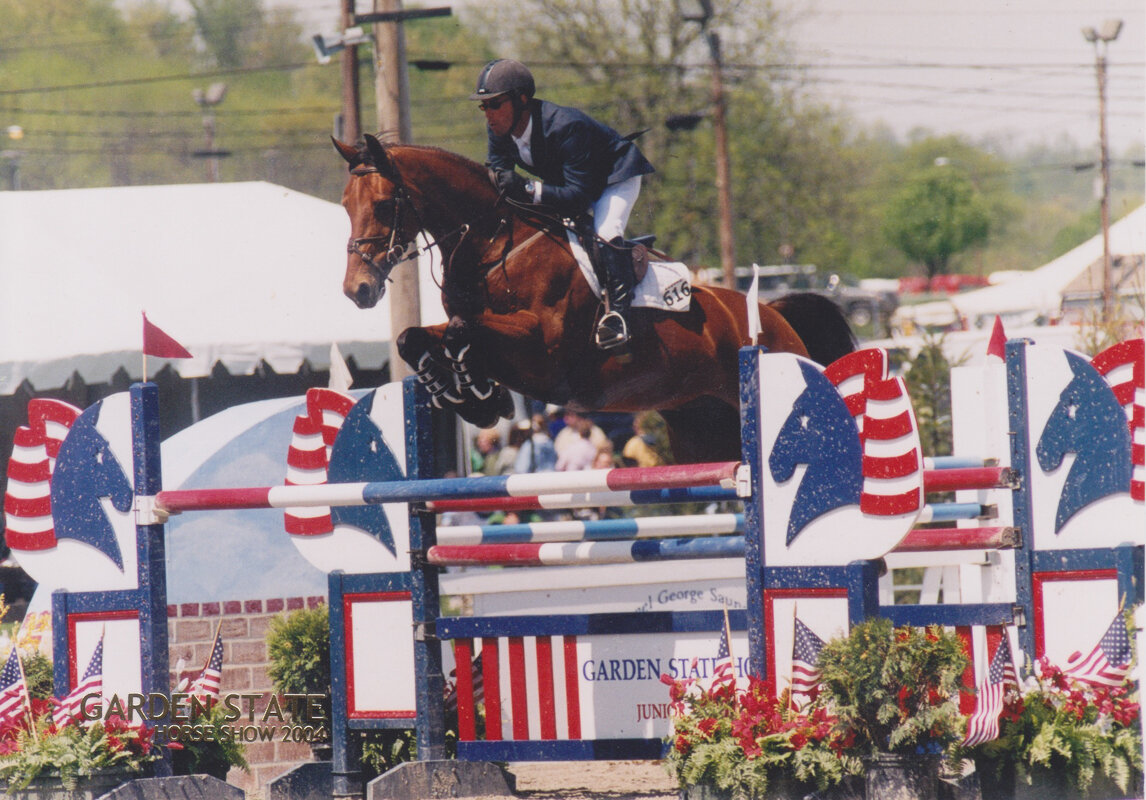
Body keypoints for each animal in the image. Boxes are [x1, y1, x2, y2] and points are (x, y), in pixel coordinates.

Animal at [332, 134, 852, 460]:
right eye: (344, 205)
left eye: (384, 205)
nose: (357, 291)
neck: (495, 246)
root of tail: (773, 313)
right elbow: (415, 337)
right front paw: (471, 395)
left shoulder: (544, 354)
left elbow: (462, 333)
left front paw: (479, 393)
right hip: (700, 427)